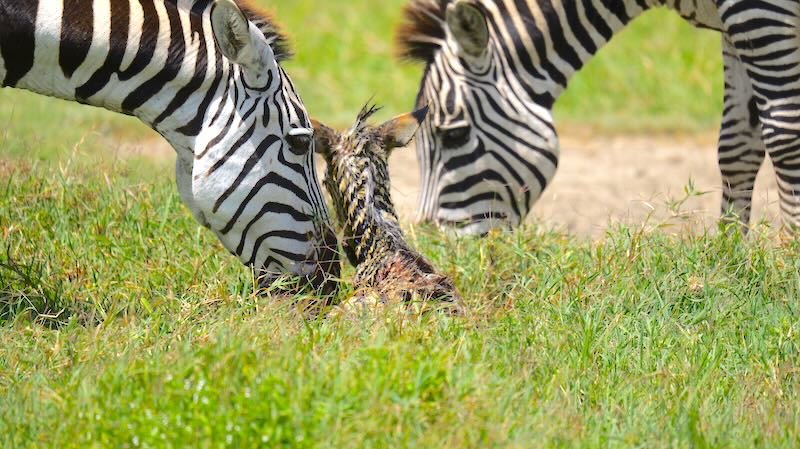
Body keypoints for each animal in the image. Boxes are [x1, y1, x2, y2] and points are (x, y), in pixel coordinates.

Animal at [397, 0, 800, 235]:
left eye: (454, 135)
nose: (435, 246)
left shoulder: (759, 12)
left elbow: (785, 137)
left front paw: (788, 263)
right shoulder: (735, 25)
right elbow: (736, 146)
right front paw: (729, 263)